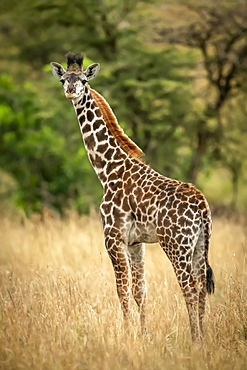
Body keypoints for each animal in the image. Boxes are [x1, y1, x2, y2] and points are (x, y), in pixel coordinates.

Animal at [50, 52, 214, 342]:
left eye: (83, 80)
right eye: (63, 79)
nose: (71, 91)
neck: (107, 169)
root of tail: (202, 206)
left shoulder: (113, 237)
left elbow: (122, 289)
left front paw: (126, 334)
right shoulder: (136, 242)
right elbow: (140, 290)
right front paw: (143, 334)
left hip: (176, 244)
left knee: (189, 287)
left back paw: (195, 339)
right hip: (199, 245)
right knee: (200, 284)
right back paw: (203, 337)